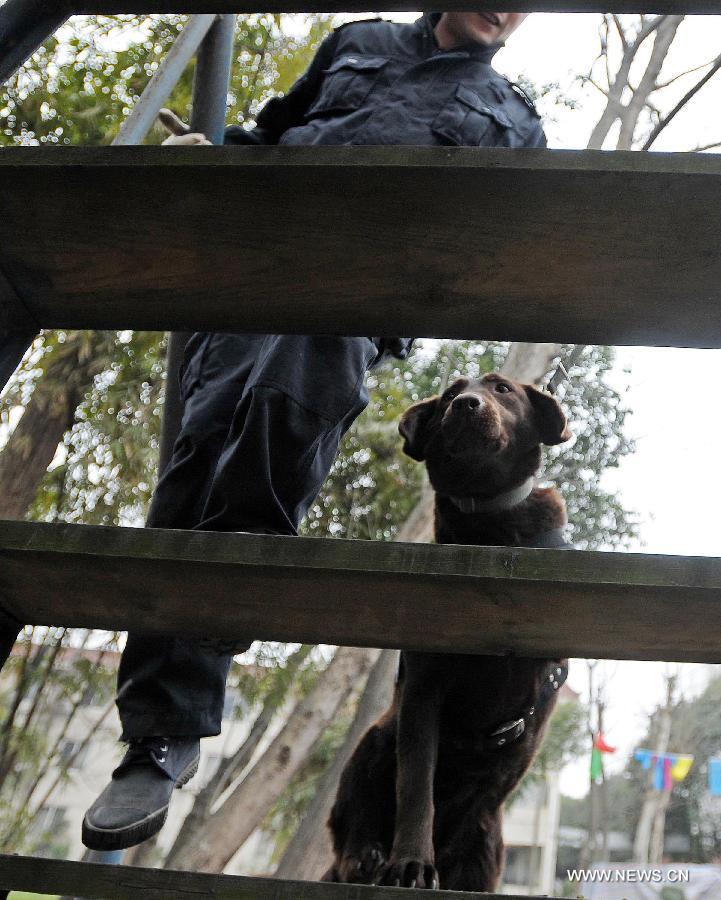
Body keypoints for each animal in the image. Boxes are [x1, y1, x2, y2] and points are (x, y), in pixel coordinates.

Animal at [324, 372, 572, 892]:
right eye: (449, 396)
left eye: (502, 389)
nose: (466, 405)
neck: (490, 529)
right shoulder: (422, 693)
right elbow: (417, 788)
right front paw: (411, 863)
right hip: (373, 744)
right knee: (350, 829)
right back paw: (366, 857)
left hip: (486, 840)